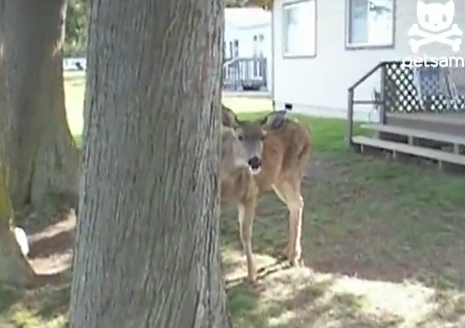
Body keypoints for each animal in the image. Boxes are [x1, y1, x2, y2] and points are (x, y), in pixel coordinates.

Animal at [218, 105, 312, 282]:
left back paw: (294, 256)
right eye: (240, 136)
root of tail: (306, 130)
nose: (255, 161)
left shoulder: (250, 193)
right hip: (278, 179)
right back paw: (288, 252)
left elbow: (245, 233)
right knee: (295, 204)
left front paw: (251, 274)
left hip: (293, 171)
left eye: (262, 137)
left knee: (297, 202)